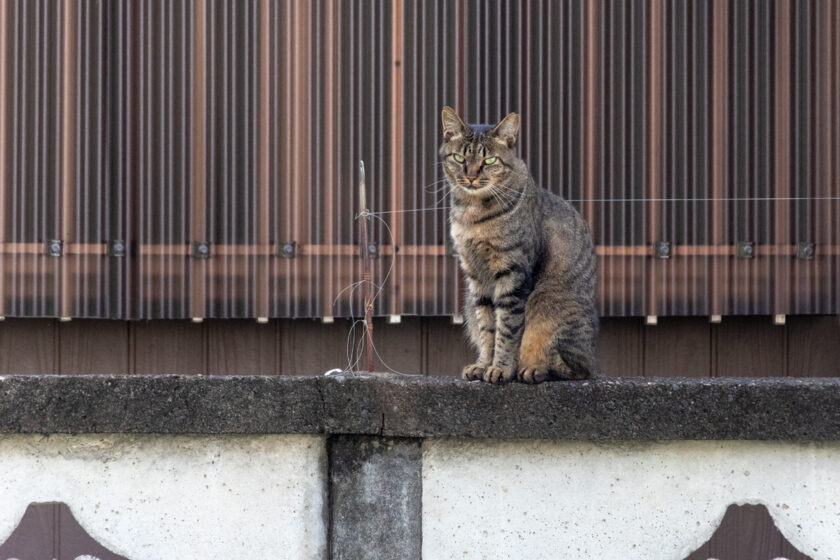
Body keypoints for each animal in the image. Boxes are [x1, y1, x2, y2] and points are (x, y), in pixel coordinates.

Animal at [440, 106, 596, 382]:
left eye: (489, 161)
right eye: (459, 158)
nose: (470, 177)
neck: (473, 213)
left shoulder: (512, 275)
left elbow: (507, 330)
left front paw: (501, 368)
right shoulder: (476, 279)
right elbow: (487, 327)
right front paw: (483, 365)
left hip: (547, 298)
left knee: (572, 368)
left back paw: (533, 368)